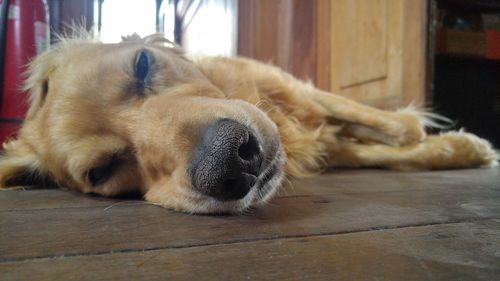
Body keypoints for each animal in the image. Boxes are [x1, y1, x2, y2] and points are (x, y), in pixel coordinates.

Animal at [0, 33, 498, 212]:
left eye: (142, 64)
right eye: (100, 172)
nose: (233, 160)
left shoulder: (292, 88)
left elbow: (396, 130)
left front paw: (465, 146)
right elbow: (383, 151)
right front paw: (459, 148)